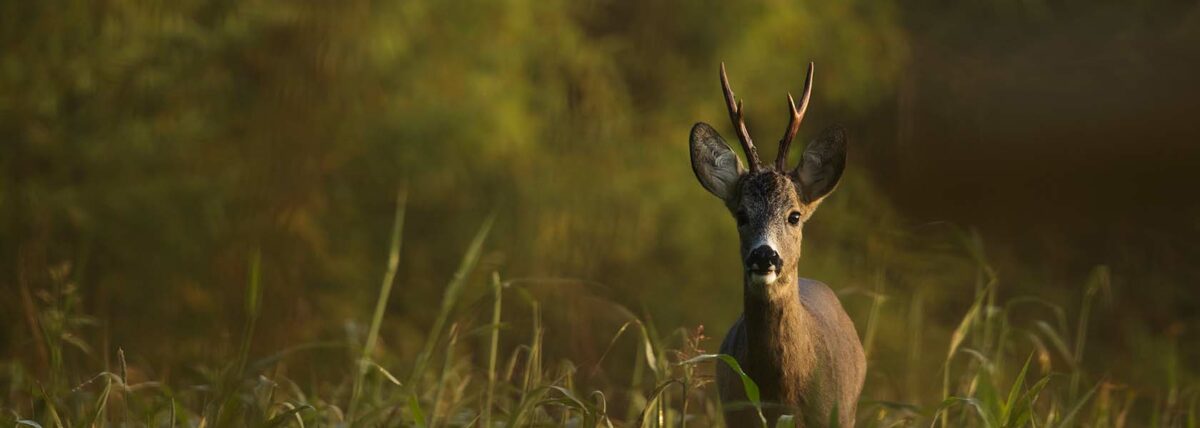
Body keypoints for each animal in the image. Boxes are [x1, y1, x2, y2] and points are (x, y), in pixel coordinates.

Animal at [691, 63, 868, 426]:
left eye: (795, 216)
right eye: (741, 214)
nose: (764, 255)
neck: (781, 395)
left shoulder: (835, 414)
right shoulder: (736, 414)